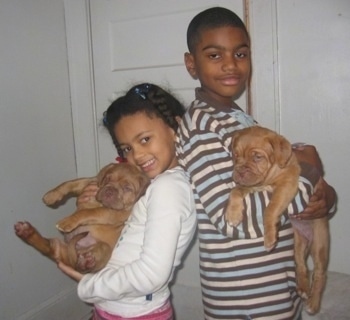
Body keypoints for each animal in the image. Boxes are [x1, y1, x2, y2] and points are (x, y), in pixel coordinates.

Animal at [14, 164, 149, 274]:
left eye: (127, 188)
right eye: (108, 179)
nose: (109, 191)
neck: (99, 202)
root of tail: (76, 256)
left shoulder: (113, 213)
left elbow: (87, 212)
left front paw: (67, 222)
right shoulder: (91, 181)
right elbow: (71, 183)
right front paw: (51, 195)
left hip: (104, 248)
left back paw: (86, 263)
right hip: (59, 248)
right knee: (49, 248)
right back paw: (26, 232)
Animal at [224, 125, 328, 316]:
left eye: (257, 157)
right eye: (235, 155)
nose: (239, 171)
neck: (269, 176)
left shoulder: (286, 185)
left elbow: (270, 209)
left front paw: (270, 237)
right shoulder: (252, 185)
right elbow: (236, 190)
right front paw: (233, 213)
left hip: (320, 244)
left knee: (319, 273)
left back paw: (313, 303)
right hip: (298, 242)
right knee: (301, 264)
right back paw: (303, 287)